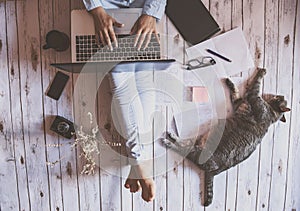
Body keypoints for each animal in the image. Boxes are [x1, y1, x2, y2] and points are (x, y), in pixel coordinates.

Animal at [163, 69, 290, 206]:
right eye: (278, 96)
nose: (277, 94)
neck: (271, 113)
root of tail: (214, 173)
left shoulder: (253, 97)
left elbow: (256, 83)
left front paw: (262, 71)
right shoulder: (239, 102)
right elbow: (235, 92)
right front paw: (230, 82)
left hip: (199, 151)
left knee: (184, 150)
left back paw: (168, 141)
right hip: (198, 140)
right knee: (184, 143)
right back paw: (172, 137)